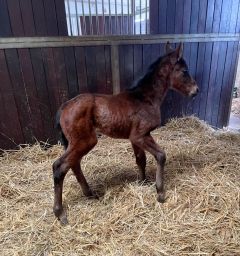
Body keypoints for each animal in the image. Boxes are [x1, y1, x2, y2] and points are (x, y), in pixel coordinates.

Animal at [53, 43, 199, 223]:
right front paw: (160, 192)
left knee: (74, 164)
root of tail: (64, 107)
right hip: (85, 141)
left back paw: (90, 194)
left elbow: (140, 159)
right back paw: (60, 213)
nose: (196, 90)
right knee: (59, 167)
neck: (144, 98)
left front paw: (143, 182)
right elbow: (161, 155)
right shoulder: (140, 136)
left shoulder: (136, 138)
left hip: (76, 143)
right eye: (184, 71)